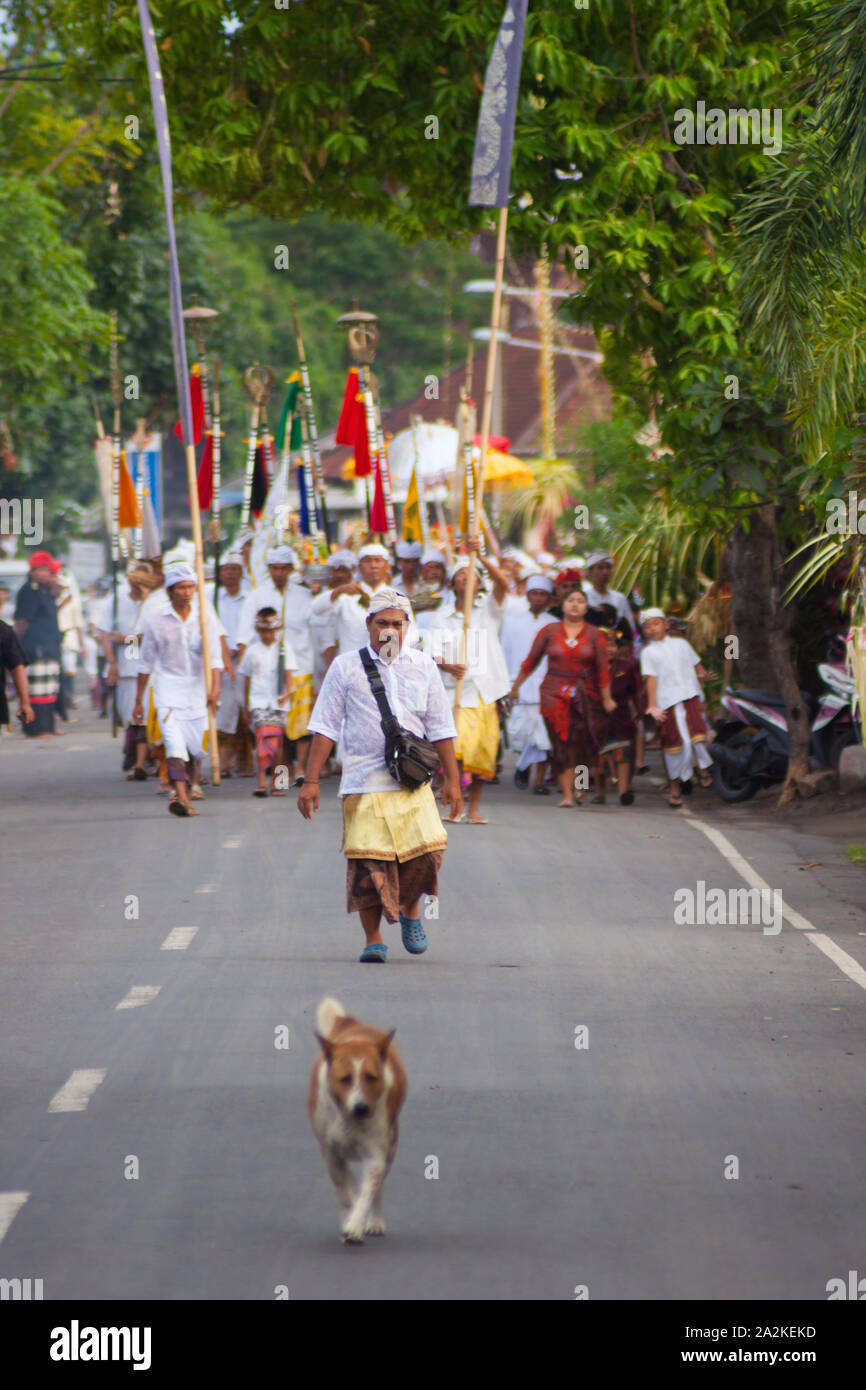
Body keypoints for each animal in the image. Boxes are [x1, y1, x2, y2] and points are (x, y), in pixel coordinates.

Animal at [309, 995, 408, 1245]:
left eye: (371, 1077)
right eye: (344, 1079)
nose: (361, 1107)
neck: (349, 1119)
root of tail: (352, 1023)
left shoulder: (376, 1154)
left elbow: (367, 1192)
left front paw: (355, 1225)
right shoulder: (331, 1155)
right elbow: (345, 1193)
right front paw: (348, 1219)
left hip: (391, 1145)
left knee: (377, 1186)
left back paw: (374, 1221)